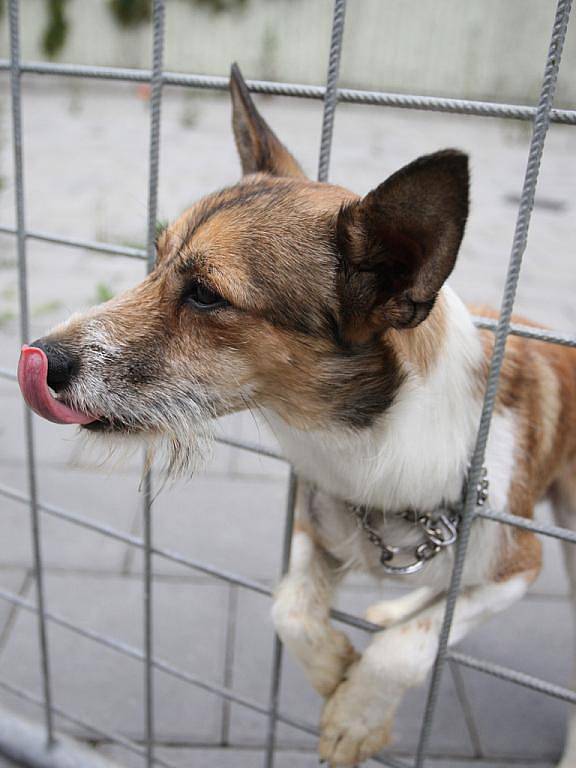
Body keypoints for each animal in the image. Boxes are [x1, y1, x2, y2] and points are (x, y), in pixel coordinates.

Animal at [16, 67, 576, 768]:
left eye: (206, 294)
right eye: (157, 257)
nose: (39, 360)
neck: (373, 459)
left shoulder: (518, 563)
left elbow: (412, 644)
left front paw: (357, 715)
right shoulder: (314, 523)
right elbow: (291, 607)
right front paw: (334, 665)